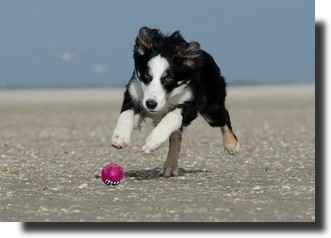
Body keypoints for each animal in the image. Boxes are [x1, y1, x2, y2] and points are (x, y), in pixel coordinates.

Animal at [113, 27, 240, 177]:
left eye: (168, 78)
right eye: (147, 75)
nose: (151, 104)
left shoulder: (191, 104)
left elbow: (171, 117)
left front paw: (151, 142)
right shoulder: (133, 94)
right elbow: (125, 114)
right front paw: (119, 137)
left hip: (212, 110)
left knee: (224, 117)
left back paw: (231, 145)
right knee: (176, 136)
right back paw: (170, 166)